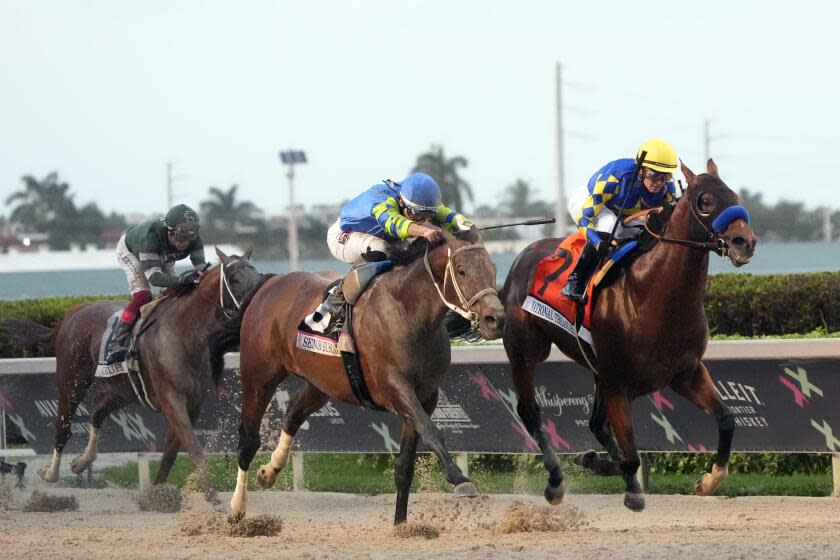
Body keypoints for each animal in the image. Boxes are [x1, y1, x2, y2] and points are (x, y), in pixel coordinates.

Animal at [5, 249, 262, 494]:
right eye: (234, 279)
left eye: (258, 276)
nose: (254, 308)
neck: (184, 334)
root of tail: (74, 311)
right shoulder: (172, 400)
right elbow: (194, 449)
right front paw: (213, 501)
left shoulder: (192, 404)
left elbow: (170, 454)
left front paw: (158, 493)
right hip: (72, 379)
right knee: (63, 426)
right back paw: (50, 473)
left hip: (122, 388)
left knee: (98, 409)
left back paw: (81, 462)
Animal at [217, 225, 506, 524]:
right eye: (461, 270)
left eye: (493, 268)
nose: (495, 320)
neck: (407, 311)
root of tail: (270, 283)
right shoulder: (394, 387)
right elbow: (431, 431)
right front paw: (459, 478)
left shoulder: (426, 396)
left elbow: (405, 466)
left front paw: (401, 525)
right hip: (259, 375)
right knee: (248, 440)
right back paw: (237, 507)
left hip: (321, 383)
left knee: (293, 414)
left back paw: (269, 472)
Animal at [502, 160, 756, 510]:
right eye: (704, 201)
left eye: (733, 195)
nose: (745, 242)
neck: (653, 295)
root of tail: (521, 257)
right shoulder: (618, 383)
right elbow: (631, 457)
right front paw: (614, 476)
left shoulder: (685, 373)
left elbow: (728, 420)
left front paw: (707, 481)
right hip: (526, 351)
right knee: (530, 412)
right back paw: (555, 481)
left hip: (596, 371)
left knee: (596, 425)